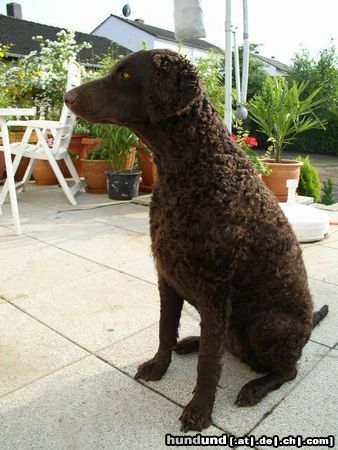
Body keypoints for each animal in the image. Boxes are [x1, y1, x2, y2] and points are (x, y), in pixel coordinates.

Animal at [64, 49, 328, 432]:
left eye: (125, 76)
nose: (67, 97)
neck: (192, 167)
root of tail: (307, 329)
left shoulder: (215, 288)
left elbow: (208, 365)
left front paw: (200, 410)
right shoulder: (166, 276)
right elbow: (165, 330)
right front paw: (159, 366)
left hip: (268, 324)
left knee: (287, 369)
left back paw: (254, 387)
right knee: (221, 343)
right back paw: (191, 341)